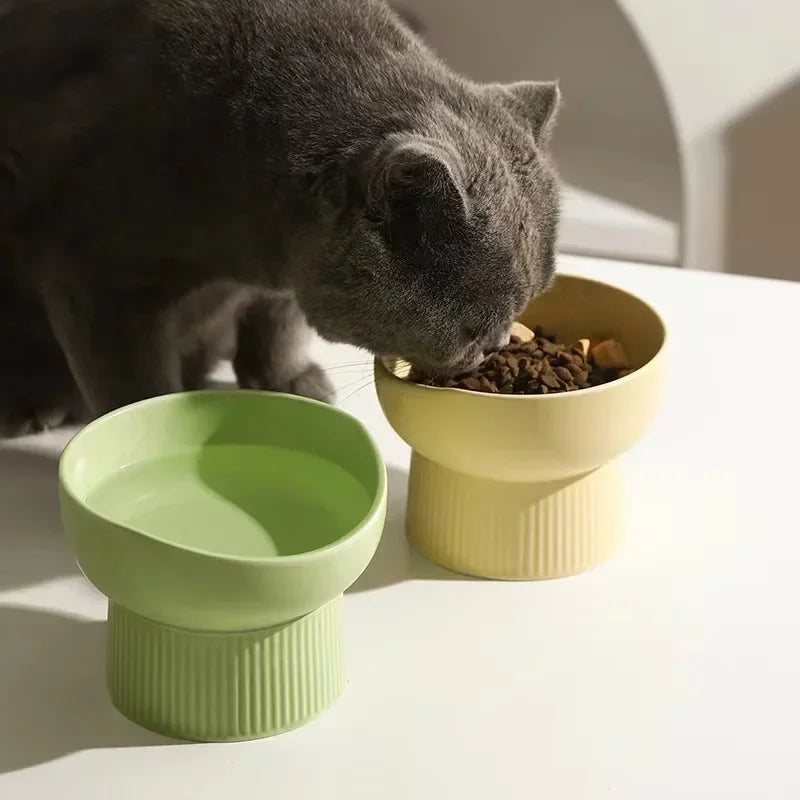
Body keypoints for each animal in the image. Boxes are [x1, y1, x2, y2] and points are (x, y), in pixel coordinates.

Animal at [0, 0, 560, 438]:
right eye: (471, 330)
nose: (497, 345)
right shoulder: (96, 279)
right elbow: (133, 382)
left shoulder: (287, 271)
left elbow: (278, 322)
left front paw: (291, 384)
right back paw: (30, 405)